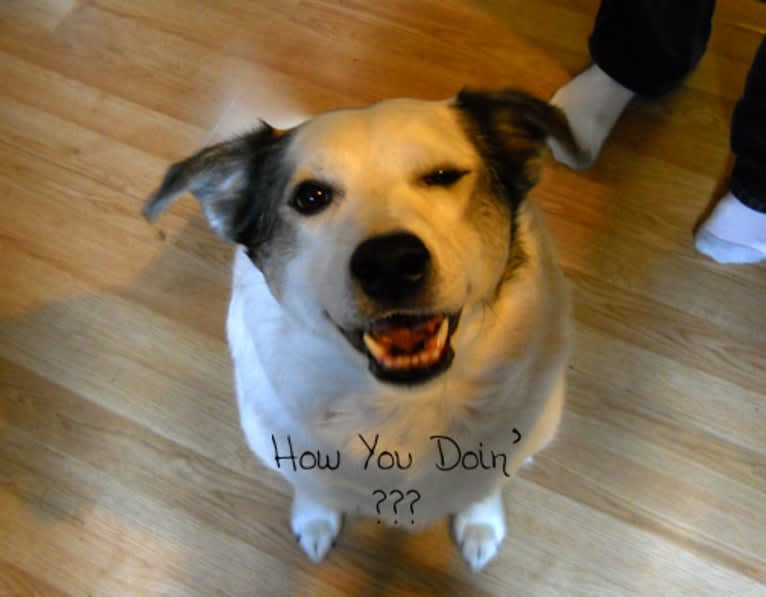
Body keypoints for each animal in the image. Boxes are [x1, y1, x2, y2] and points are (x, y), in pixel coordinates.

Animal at [144, 87, 580, 568]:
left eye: (443, 175)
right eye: (310, 197)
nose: (390, 263)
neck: (403, 405)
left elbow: (488, 481)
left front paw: (480, 521)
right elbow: (313, 484)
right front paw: (315, 518)